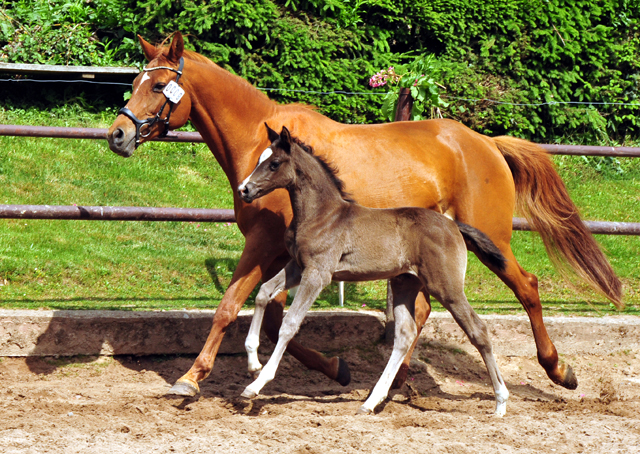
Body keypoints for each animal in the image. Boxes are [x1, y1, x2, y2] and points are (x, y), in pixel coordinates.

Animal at [235, 126, 510, 416]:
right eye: (259, 159)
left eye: (274, 163)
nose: (244, 189)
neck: (321, 215)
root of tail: (454, 226)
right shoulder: (297, 267)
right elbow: (263, 292)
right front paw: (252, 363)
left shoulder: (318, 273)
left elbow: (289, 324)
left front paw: (256, 384)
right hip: (404, 284)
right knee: (404, 335)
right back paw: (370, 402)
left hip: (447, 287)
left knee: (478, 330)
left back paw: (500, 402)